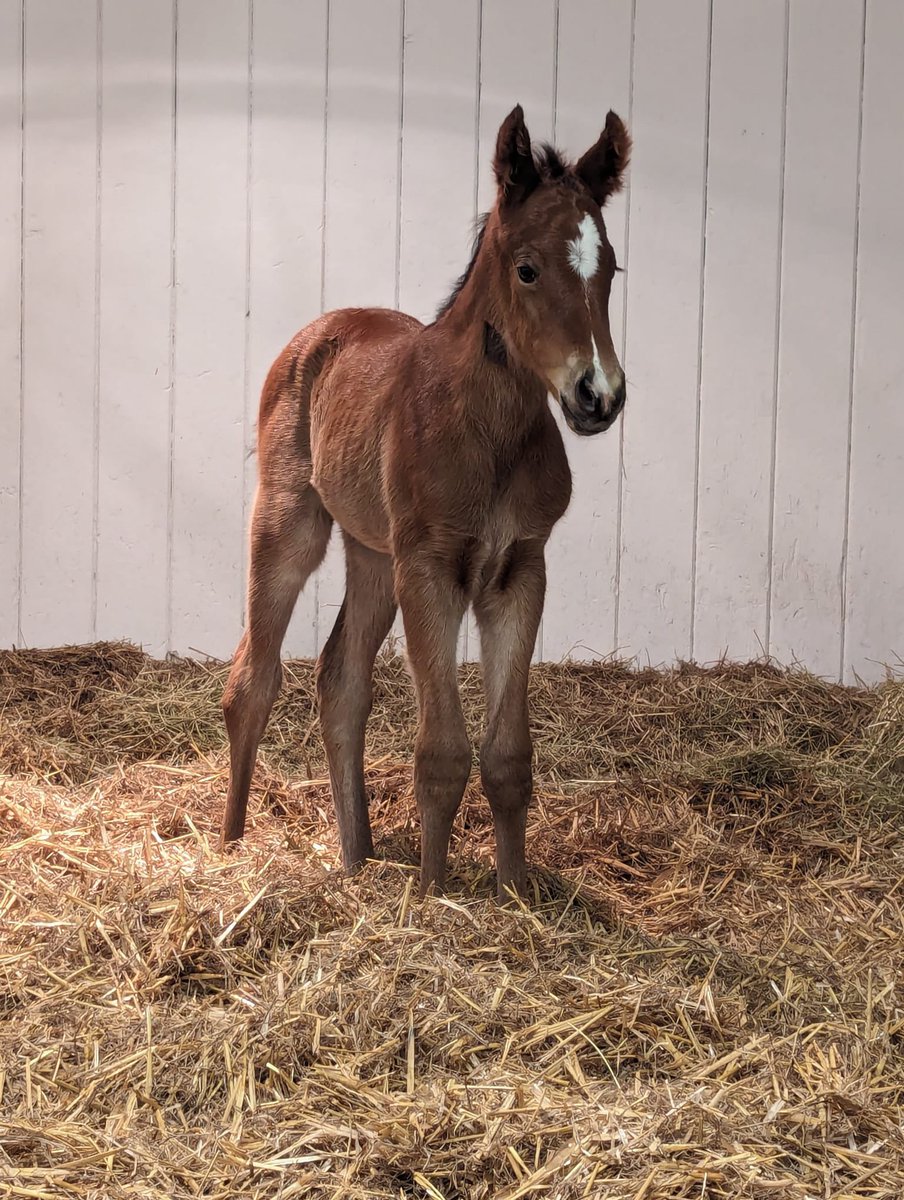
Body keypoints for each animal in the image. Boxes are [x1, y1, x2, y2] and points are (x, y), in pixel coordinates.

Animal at [220, 105, 629, 902]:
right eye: (527, 268)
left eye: (612, 267)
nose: (598, 394)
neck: (486, 433)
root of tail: (319, 332)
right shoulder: (431, 569)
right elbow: (442, 751)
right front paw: (435, 893)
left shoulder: (519, 571)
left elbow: (507, 756)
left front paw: (511, 891)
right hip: (292, 524)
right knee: (252, 679)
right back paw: (230, 846)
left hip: (374, 554)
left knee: (340, 682)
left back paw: (357, 856)